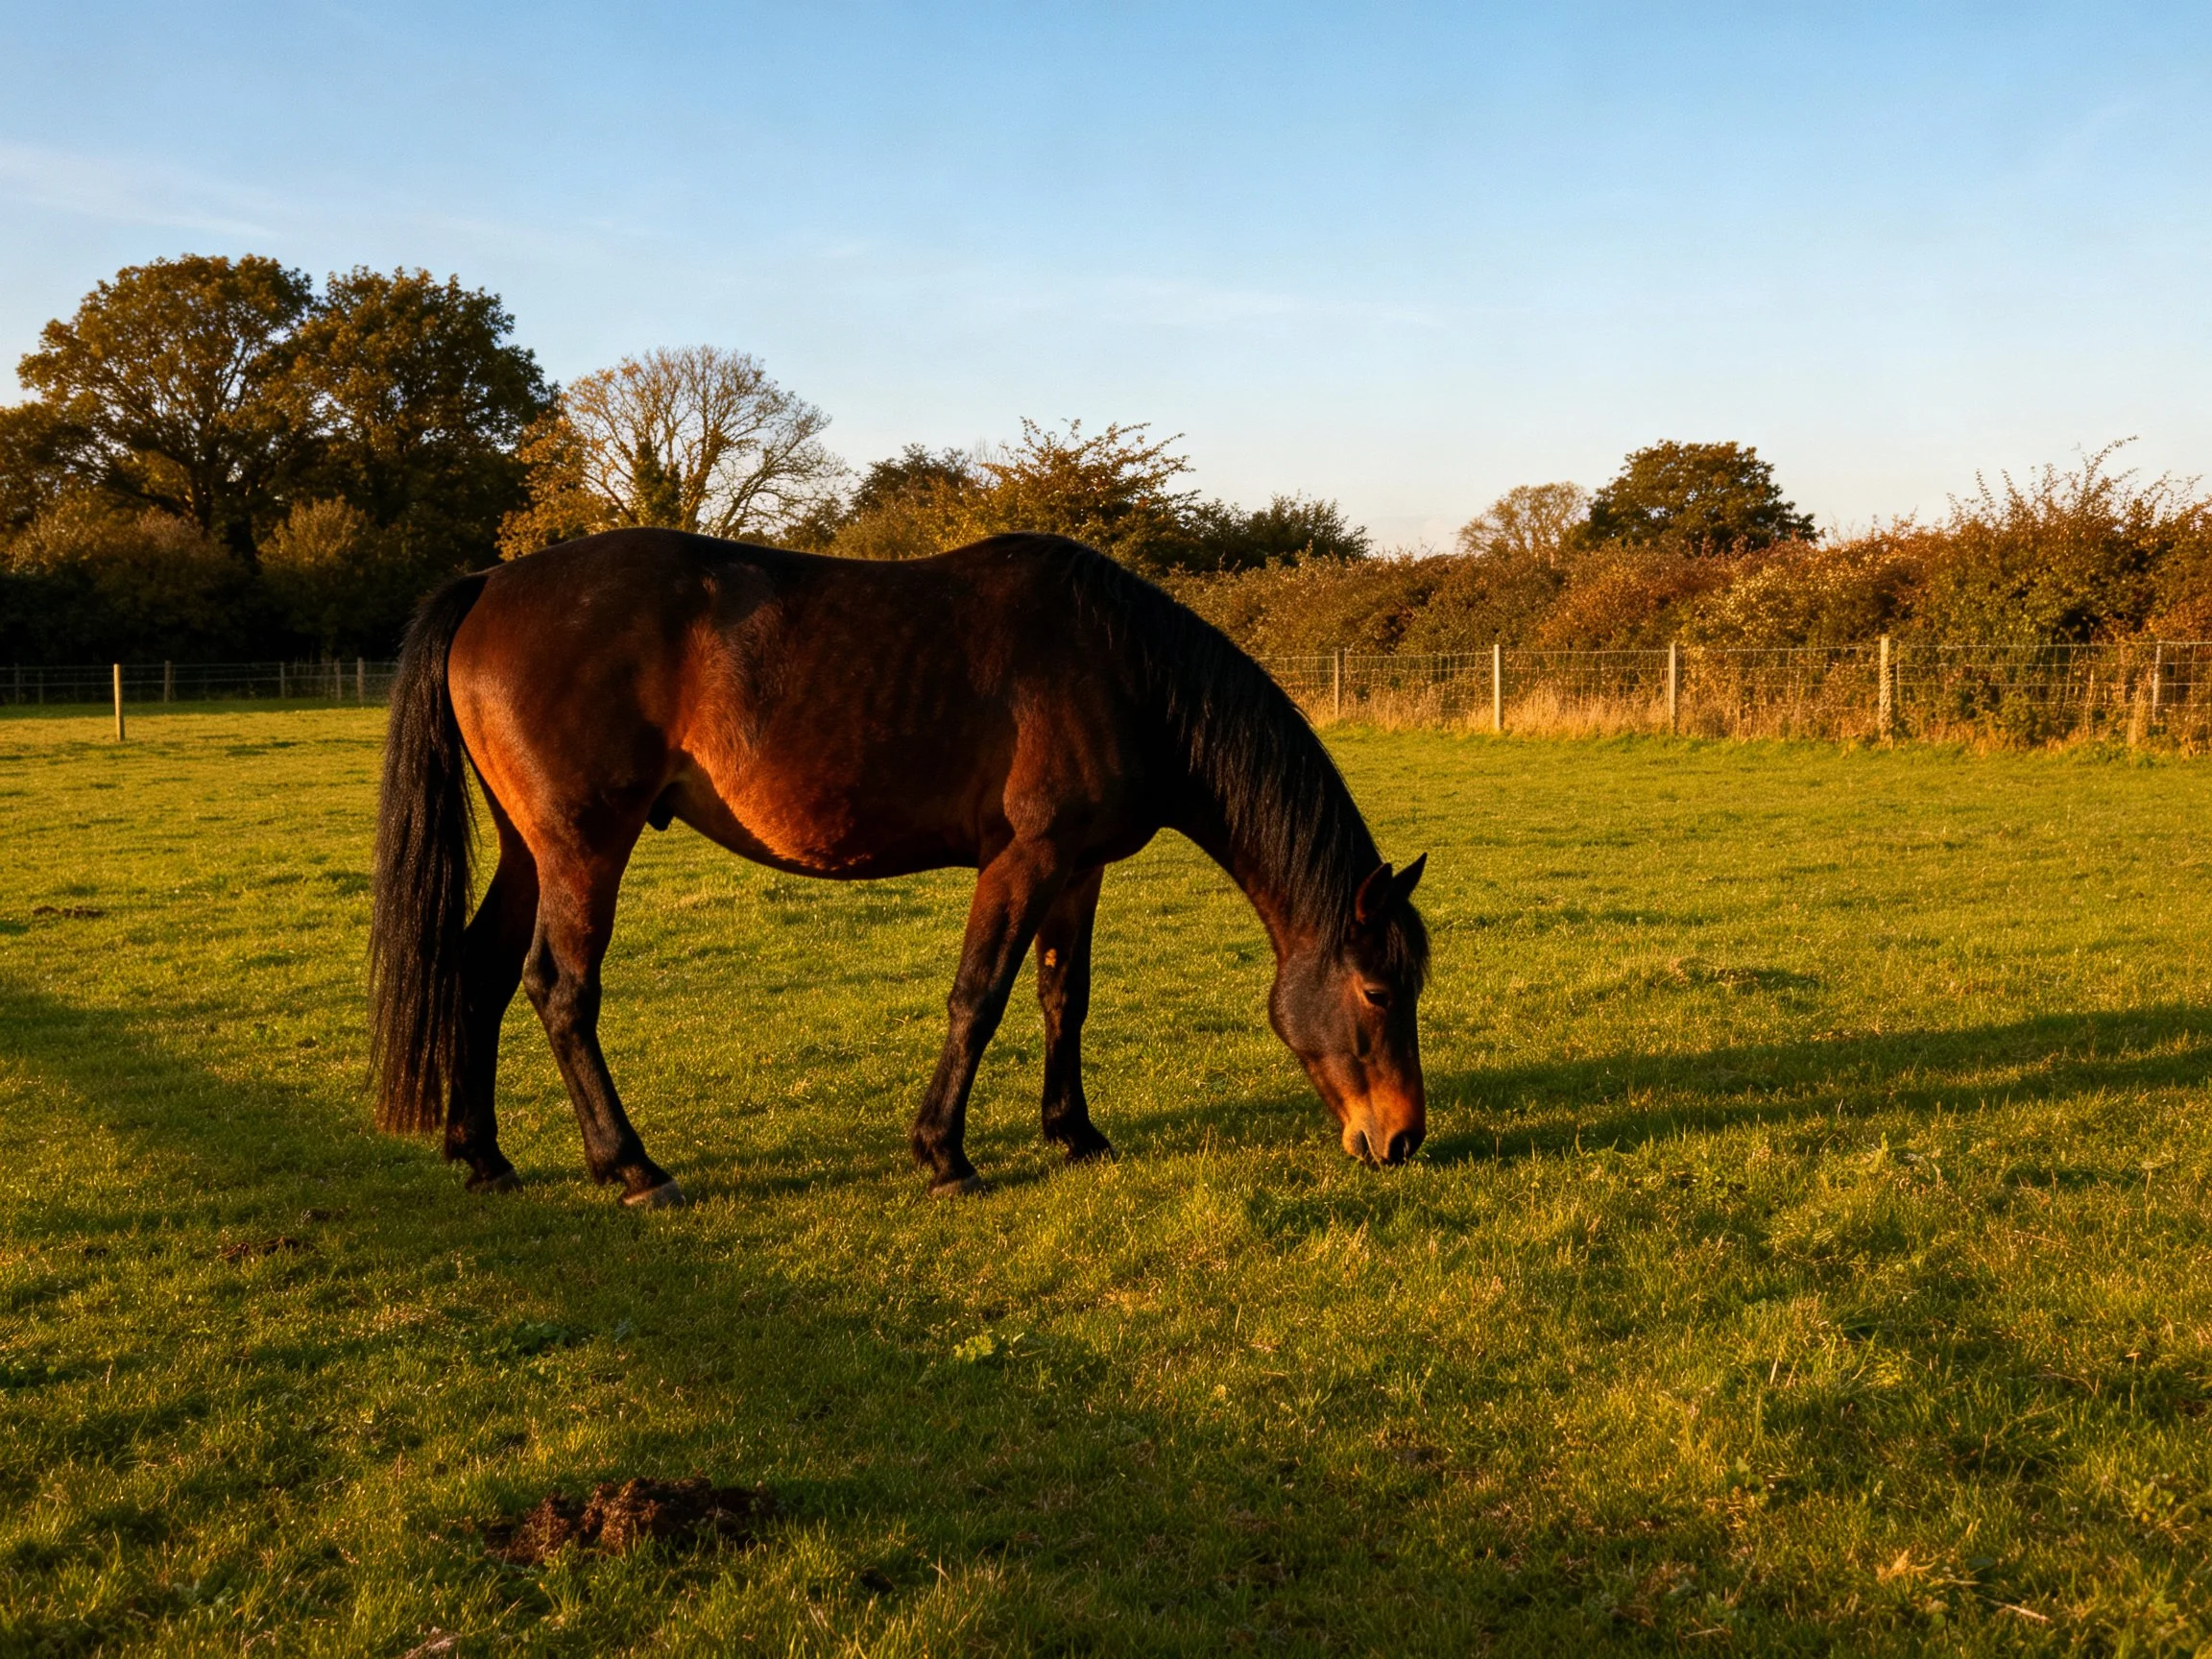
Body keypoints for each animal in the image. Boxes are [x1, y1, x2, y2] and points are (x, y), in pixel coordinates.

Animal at [368, 529, 1429, 1206]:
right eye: (1379, 992)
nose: (1403, 1136)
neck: (1124, 672)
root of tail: (489, 585)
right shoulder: (1024, 860)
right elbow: (979, 998)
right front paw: (943, 1156)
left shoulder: (1078, 869)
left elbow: (1063, 997)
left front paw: (1075, 1134)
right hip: (585, 846)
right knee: (560, 989)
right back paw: (632, 1168)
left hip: (529, 848)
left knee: (478, 969)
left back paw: (483, 1157)